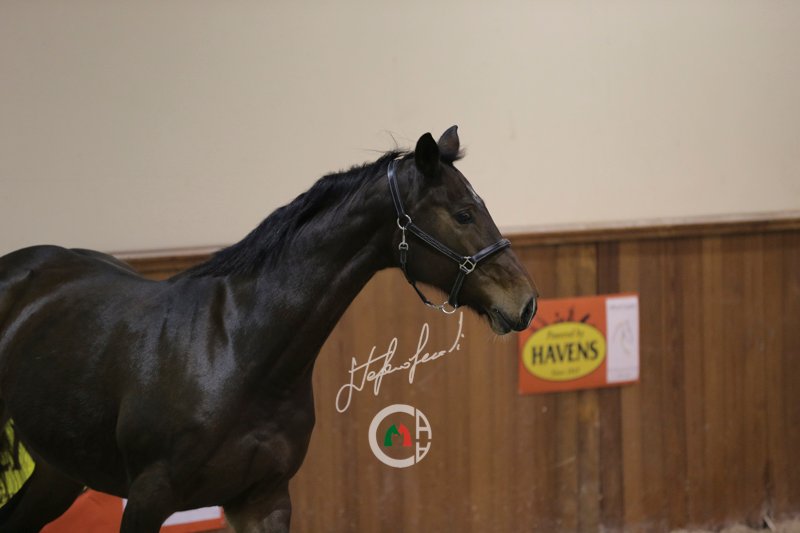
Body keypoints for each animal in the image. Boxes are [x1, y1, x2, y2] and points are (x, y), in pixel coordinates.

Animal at [0, 126, 538, 532]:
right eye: (463, 213)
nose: (527, 302)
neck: (237, 352)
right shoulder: (148, 499)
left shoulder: (263, 499)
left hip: (59, 470)